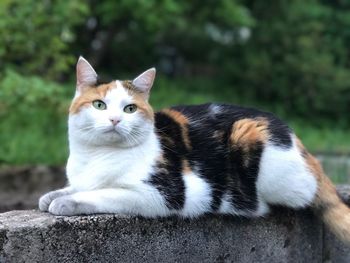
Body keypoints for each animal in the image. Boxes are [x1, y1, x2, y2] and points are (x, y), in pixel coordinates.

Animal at [39, 56, 350, 244]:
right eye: (99, 105)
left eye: (129, 109)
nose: (115, 120)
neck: (97, 156)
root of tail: (297, 140)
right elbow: (73, 187)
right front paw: (51, 195)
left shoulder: (163, 194)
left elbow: (103, 193)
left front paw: (65, 203)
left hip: (257, 148)